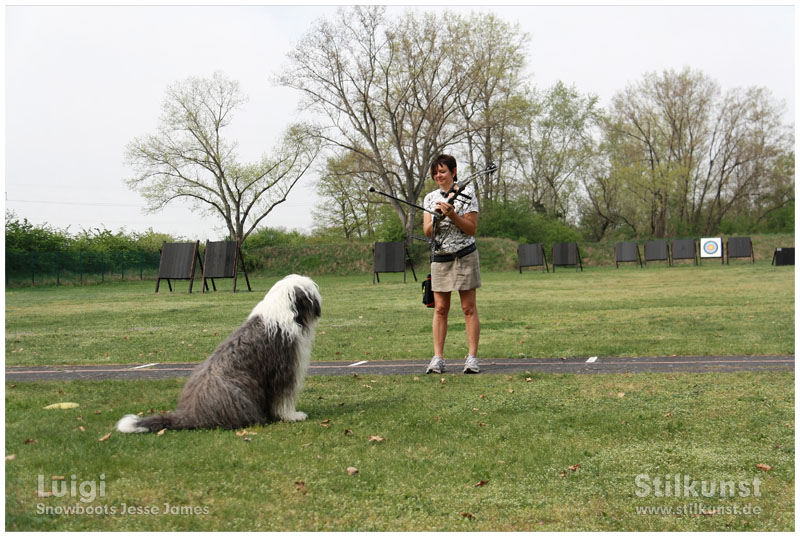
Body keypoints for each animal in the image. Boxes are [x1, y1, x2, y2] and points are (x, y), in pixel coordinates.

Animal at [116, 274, 322, 434]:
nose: (319, 308)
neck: (283, 313)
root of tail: (190, 414)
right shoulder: (284, 368)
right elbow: (284, 397)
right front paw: (293, 416)